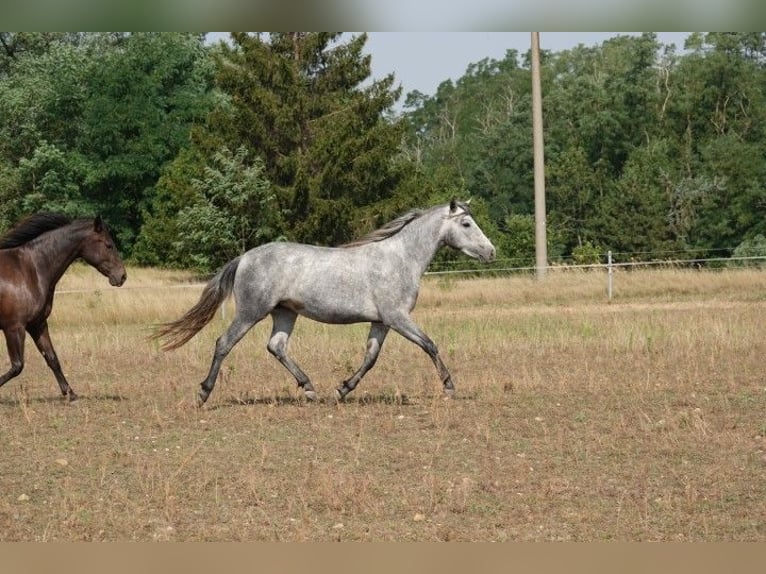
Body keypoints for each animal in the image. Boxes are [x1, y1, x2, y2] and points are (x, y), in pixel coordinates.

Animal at [0, 213, 127, 400]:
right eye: (108, 245)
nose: (122, 276)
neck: (29, 269)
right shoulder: (14, 328)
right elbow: (17, 366)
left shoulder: (37, 325)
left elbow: (52, 358)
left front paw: (70, 394)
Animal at [154, 199, 496, 406]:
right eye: (466, 224)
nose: (491, 252)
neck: (400, 259)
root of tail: (245, 257)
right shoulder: (398, 317)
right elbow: (429, 345)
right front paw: (449, 386)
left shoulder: (382, 321)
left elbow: (371, 358)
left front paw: (342, 389)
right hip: (252, 311)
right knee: (224, 343)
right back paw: (203, 393)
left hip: (285, 313)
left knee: (276, 346)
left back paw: (309, 389)